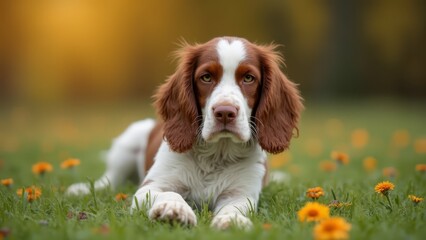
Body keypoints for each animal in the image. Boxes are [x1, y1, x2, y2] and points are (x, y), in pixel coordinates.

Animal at [65, 36, 302, 230]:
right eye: (206, 77)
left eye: (249, 78)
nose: (225, 112)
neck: (216, 154)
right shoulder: (150, 187)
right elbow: (169, 192)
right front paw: (173, 209)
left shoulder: (241, 193)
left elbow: (235, 207)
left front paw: (232, 220)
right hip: (129, 140)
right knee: (109, 180)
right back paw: (81, 189)